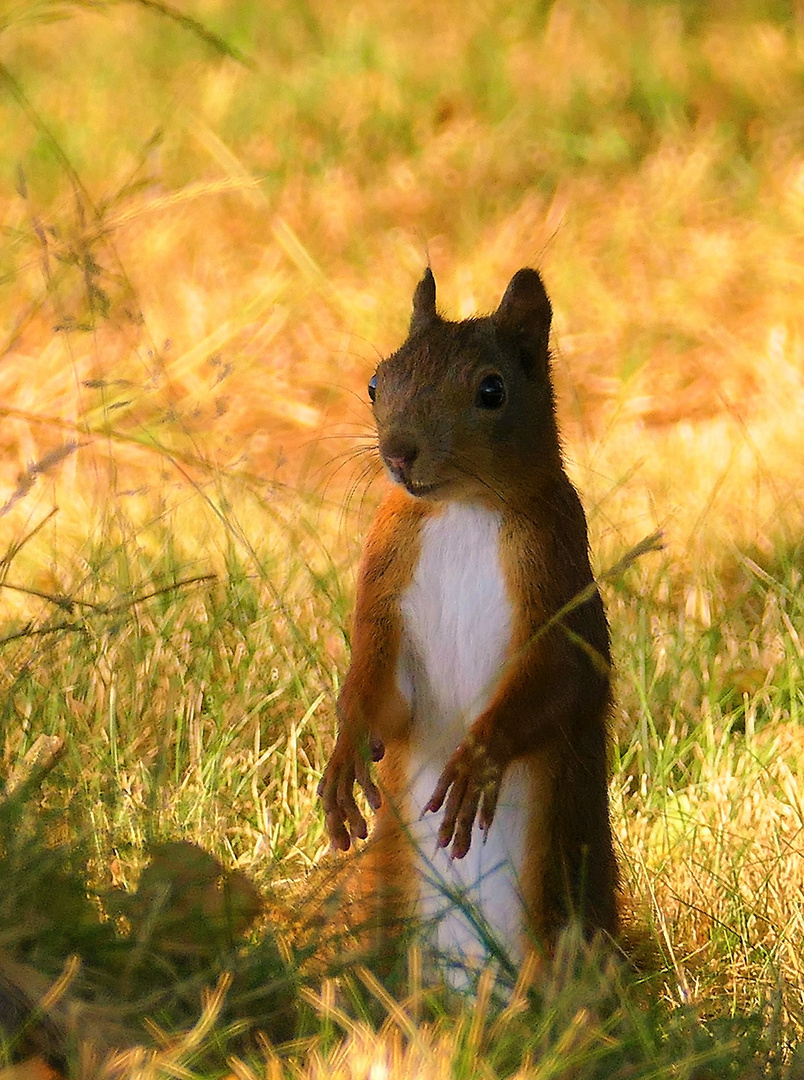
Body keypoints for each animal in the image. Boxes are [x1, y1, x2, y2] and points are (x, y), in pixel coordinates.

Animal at [317, 263, 618, 972]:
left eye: (492, 390)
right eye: (376, 383)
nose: (399, 453)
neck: (462, 509)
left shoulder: (561, 588)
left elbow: (563, 683)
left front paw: (477, 760)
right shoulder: (387, 586)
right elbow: (382, 699)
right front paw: (345, 753)